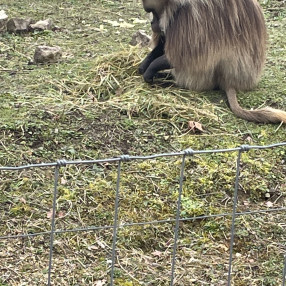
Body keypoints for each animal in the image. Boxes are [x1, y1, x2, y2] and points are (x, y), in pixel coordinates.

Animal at [141, 0, 286, 123]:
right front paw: (144, 65)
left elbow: (185, 55)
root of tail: (230, 80)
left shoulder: (191, 15)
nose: (152, 23)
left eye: (153, 11)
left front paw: (150, 70)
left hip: (207, 77)